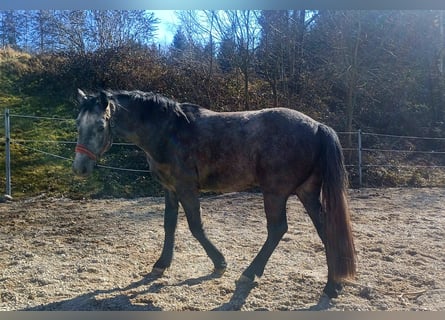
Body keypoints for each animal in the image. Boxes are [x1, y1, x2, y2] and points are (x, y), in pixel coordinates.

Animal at [73, 89, 358, 298]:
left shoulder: (186, 188)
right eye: (78, 123)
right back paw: (333, 286)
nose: (79, 168)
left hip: (275, 192)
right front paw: (161, 264)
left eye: (100, 126)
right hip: (306, 192)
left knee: (277, 229)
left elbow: (195, 226)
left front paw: (219, 263)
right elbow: (169, 225)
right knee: (325, 230)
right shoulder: (170, 189)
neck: (168, 131)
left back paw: (251, 273)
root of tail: (317, 126)